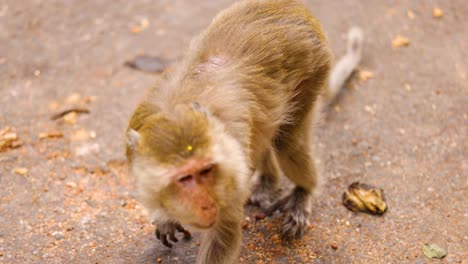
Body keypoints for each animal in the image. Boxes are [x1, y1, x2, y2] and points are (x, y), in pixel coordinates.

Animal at [126, 1, 364, 262]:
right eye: (184, 178)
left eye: (206, 171)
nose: (207, 204)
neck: (177, 106)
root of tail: (293, 7)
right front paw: (165, 217)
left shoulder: (230, 171)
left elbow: (223, 235)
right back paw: (269, 180)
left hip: (313, 70)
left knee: (287, 140)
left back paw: (303, 192)